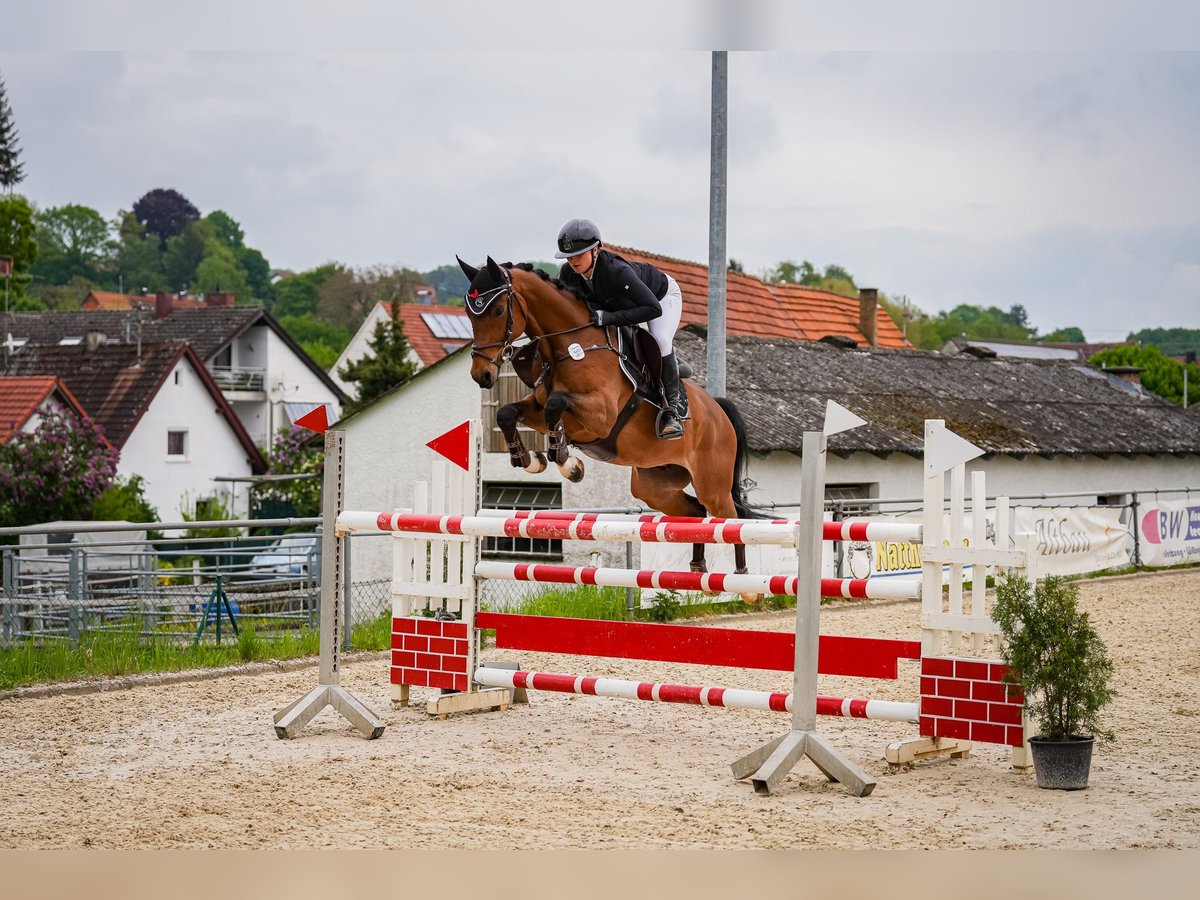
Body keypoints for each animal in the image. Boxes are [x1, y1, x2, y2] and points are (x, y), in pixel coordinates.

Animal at [456, 255, 761, 582]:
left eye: (499, 310)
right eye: (469, 313)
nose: (481, 375)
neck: (570, 346)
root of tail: (719, 411)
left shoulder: (600, 415)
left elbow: (556, 404)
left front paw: (566, 462)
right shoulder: (538, 410)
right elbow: (507, 413)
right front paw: (530, 460)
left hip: (711, 483)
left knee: (734, 517)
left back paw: (744, 579)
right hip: (655, 485)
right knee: (697, 514)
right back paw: (698, 570)